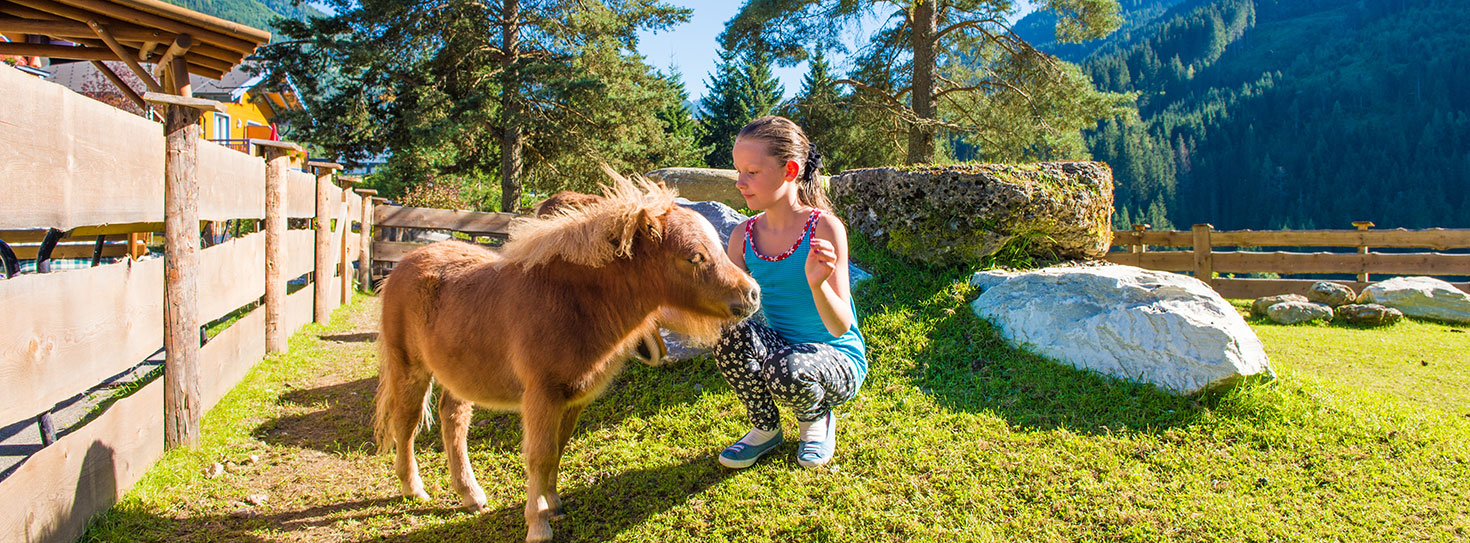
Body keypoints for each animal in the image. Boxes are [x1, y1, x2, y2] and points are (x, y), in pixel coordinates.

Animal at [376, 168, 758, 538]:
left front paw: (554, 504)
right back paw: (414, 488)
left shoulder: (573, 397)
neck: (572, 301)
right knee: (406, 422)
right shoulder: (542, 395)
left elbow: (557, 450)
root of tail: (404, 262)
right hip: (409, 366)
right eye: (694, 256)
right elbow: (540, 456)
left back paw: (470, 494)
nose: (752, 294)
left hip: (460, 371)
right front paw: (538, 524)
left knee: (453, 418)